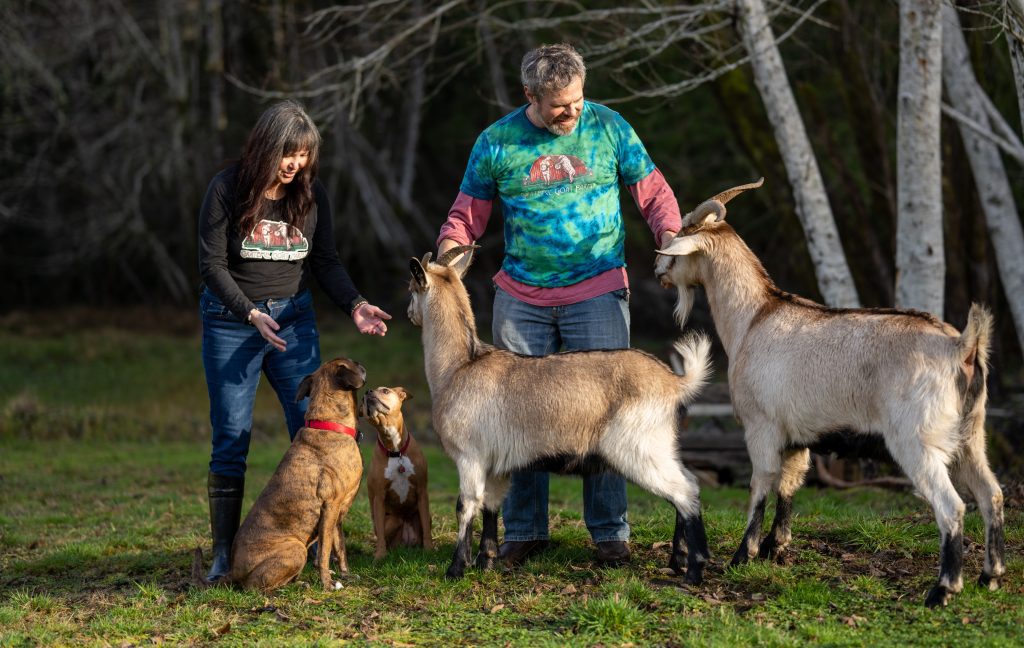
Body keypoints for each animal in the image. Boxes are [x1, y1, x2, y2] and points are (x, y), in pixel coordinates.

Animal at [360, 386, 432, 556]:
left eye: (385, 390)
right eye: (362, 401)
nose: (367, 391)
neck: (395, 450)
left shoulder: (422, 491)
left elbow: (426, 527)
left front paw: (430, 550)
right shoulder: (379, 497)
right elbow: (380, 534)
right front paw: (379, 556)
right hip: (393, 520)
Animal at [655, 178, 999, 606]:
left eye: (681, 235)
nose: (657, 270)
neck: (753, 317)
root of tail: (962, 347)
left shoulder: (761, 425)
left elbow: (761, 483)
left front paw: (742, 555)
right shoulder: (797, 436)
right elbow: (790, 483)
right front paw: (775, 548)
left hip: (917, 440)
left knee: (952, 506)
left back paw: (942, 590)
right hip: (971, 435)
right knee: (991, 495)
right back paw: (990, 576)